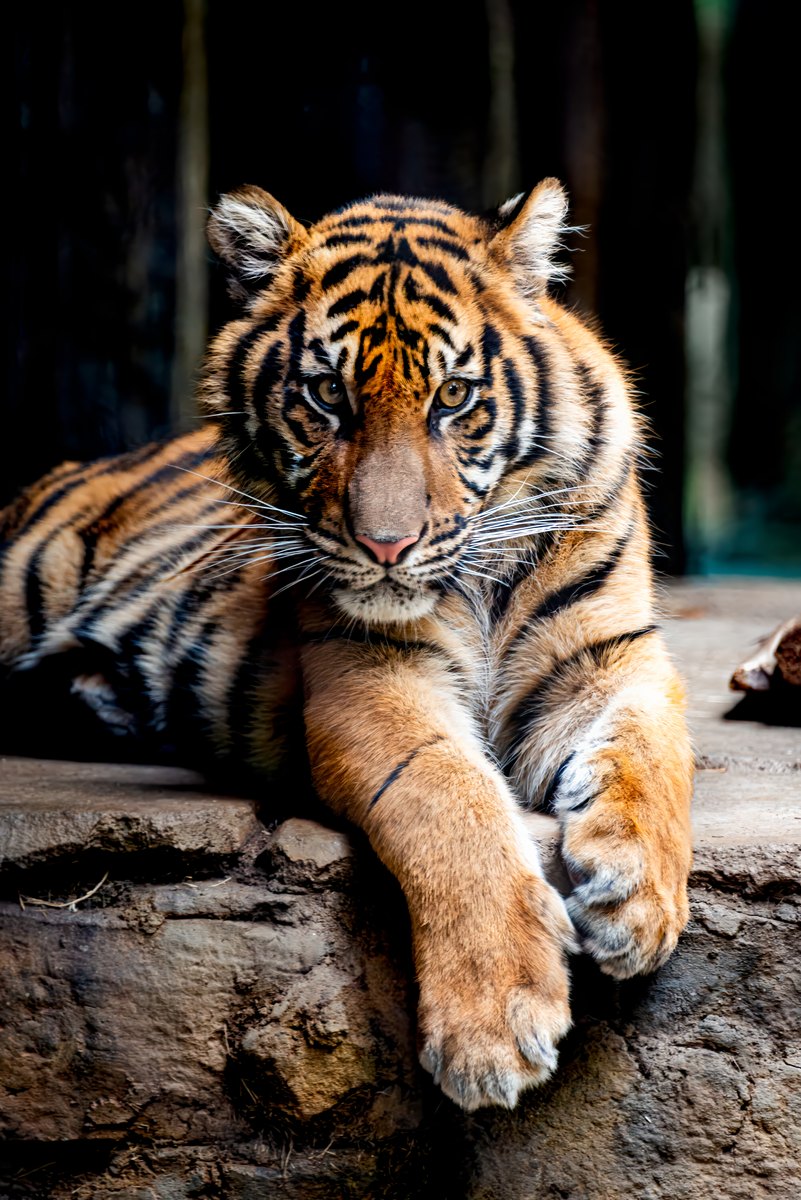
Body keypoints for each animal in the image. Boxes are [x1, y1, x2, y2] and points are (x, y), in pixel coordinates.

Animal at [0, 180, 693, 1112]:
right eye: (327, 394)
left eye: (452, 398)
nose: (385, 546)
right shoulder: (369, 678)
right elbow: (450, 802)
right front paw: (494, 1025)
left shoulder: (609, 655)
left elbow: (652, 756)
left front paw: (638, 904)